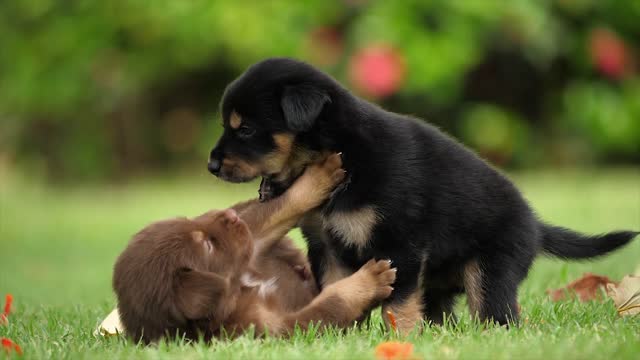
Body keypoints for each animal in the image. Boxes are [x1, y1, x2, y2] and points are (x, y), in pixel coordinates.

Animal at [114, 155, 396, 344]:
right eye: (207, 245)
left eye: (189, 221)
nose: (229, 215)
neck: (240, 289)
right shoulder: (273, 328)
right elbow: (330, 304)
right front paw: (371, 280)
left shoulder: (251, 245)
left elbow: (277, 209)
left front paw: (319, 175)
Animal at [208, 58, 636, 332]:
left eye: (245, 129)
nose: (210, 165)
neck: (344, 152)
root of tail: (535, 224)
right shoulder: (328, 247)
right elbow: (335, 289)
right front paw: (341, 332)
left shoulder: (400, 245)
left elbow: (397, 305)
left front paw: (400, 339)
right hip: (440, 284)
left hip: (492, 270)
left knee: (497, 314)